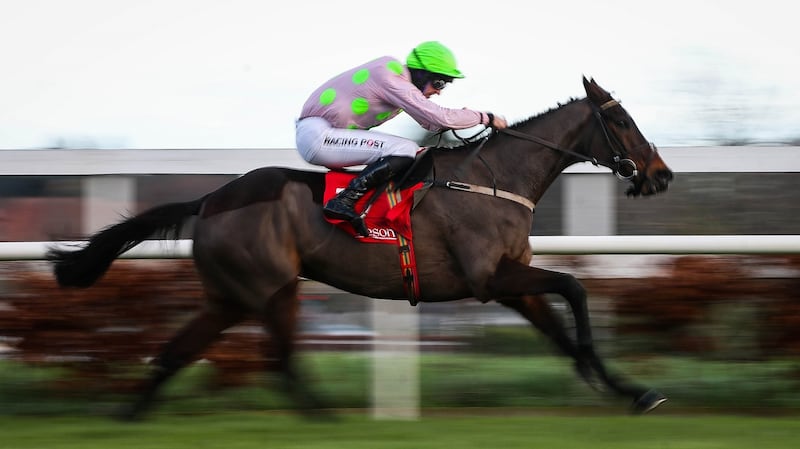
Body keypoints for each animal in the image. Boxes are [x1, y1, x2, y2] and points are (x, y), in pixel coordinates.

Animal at [48, 75, 676, 418]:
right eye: (622, 121)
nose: (661, 175)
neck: (493, 177)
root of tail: (210, 199)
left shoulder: (511, 285)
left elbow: (561, 328)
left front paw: (628, 390)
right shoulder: (489, 279)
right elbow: (574, 286)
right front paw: (607, 377)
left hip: (235, 294)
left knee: (179, 353)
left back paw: (130, 414)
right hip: (269, 288)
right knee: (279, 360)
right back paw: (323, 419)